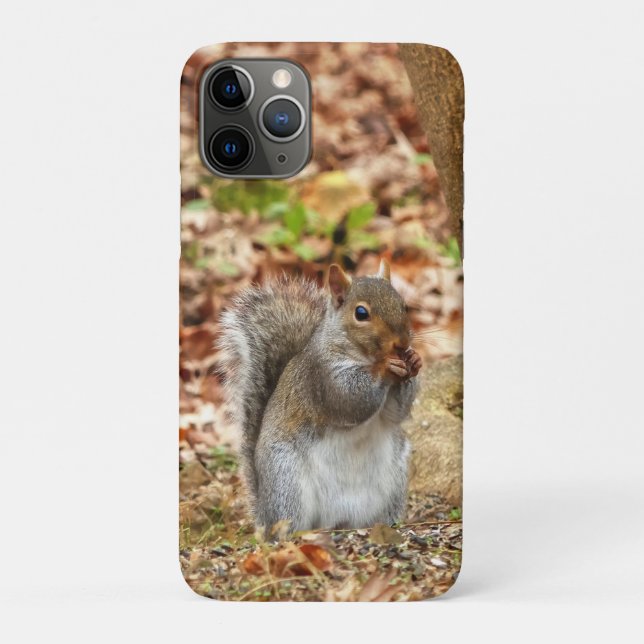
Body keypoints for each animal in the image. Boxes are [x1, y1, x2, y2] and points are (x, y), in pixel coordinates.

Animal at [218, 259, 422, 534]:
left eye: (403, 304)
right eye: (361, 313)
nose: (401, 344)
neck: (362, 354)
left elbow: (395, 413)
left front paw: (414, 360)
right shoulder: (322, 376)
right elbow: (350, 399)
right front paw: (385, 366)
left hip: (395, 481)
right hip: (286, 481)